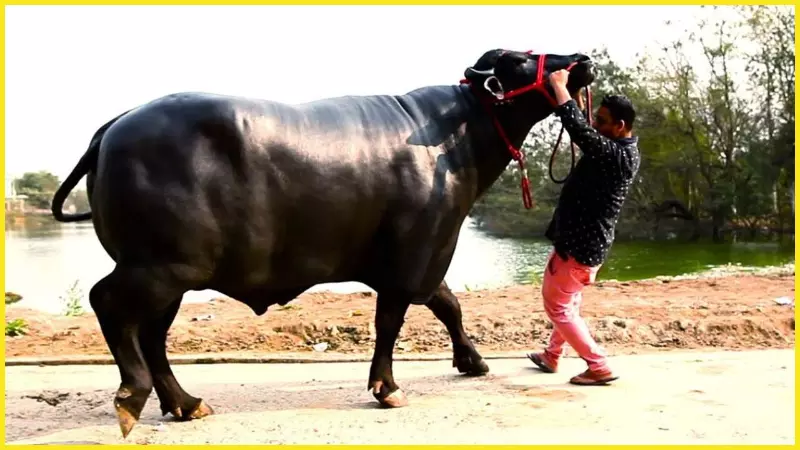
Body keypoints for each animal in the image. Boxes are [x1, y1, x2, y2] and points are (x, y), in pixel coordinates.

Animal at [51, 48, 595, 438]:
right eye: (520, 58)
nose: (582, 59)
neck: (451, 139)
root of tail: (113, 128)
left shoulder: (428, 259)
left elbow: (448, 305)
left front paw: (473, 362)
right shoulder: (414, 255)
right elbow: (392, 321)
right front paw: (387, 388)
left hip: (173, 275)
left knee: (152, 335)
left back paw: (185, 404)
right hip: (159, 266)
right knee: (108, 303)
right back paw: (132, 396)